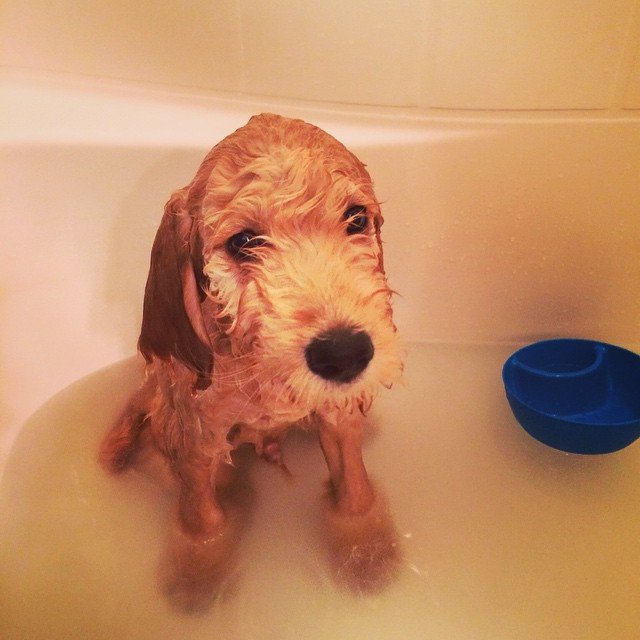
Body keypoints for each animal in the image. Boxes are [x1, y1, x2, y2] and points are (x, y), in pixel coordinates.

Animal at [100, 112, 402, 608]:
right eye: (244, 242)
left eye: (356, 218)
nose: (344, 354)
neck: (257, 370)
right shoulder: (198, 438)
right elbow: (203, 519)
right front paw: (198, 573)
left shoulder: (334, 416)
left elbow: (354, 491)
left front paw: (366, 550)